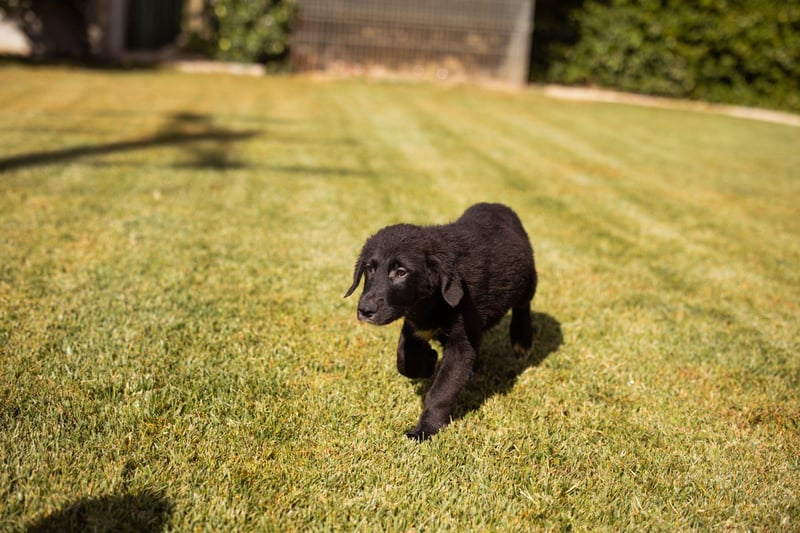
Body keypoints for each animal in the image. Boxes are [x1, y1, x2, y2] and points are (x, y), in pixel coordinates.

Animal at [345, 203, 537, 440]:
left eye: (401, 272)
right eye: (369, 268)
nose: (365, 310)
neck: (429, 301)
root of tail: (499, 206)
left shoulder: (461, 345)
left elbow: (442, 391)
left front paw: (425, 430)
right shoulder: (413, 325)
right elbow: (404, 359)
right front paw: (428, 360)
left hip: (528, 281)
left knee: (523, 306)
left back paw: (522, 340)